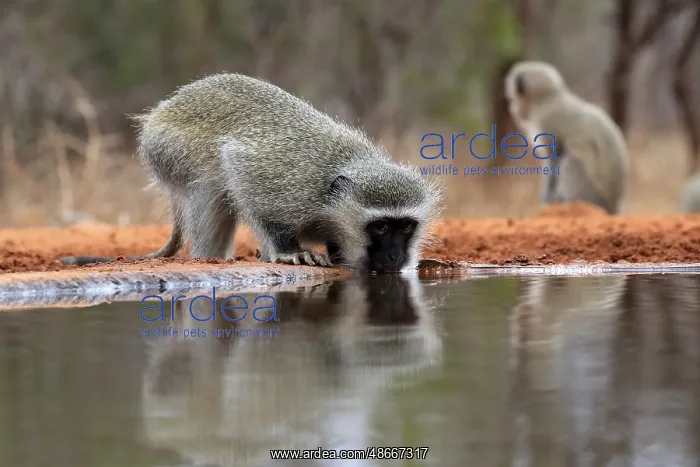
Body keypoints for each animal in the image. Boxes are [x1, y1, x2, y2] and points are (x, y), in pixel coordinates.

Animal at [59, 73, 443, 272]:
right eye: (380, 227)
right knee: (211, 186)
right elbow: (240, 172)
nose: (395, 257)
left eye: (405, 227)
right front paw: (288, 251)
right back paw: (210, 258)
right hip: (166, 147)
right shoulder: (289, 182)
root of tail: (161, 110)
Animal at [504, 61, 629, 215]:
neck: (549, 99)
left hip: (592, 193)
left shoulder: (545, 120)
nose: (513, 108)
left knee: (570, 160)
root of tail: (612, 205)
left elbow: (553, 160)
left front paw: (547, 200)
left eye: (513, 99)